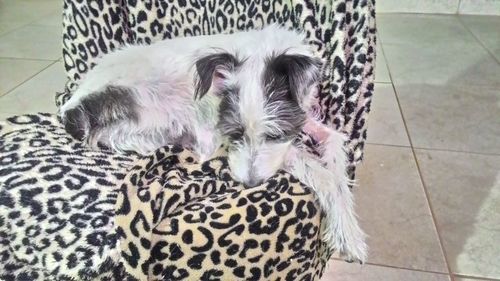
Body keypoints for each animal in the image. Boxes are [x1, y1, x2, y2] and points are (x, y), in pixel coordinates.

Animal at [60, 24, 370, 262]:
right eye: (235, 133)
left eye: (274, 134)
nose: (249, 183)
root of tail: (72, 107)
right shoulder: (218, 131)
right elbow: (320, 174)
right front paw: (348, 233)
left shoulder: (299, 117)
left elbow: (336, 142)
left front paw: (342, 190)